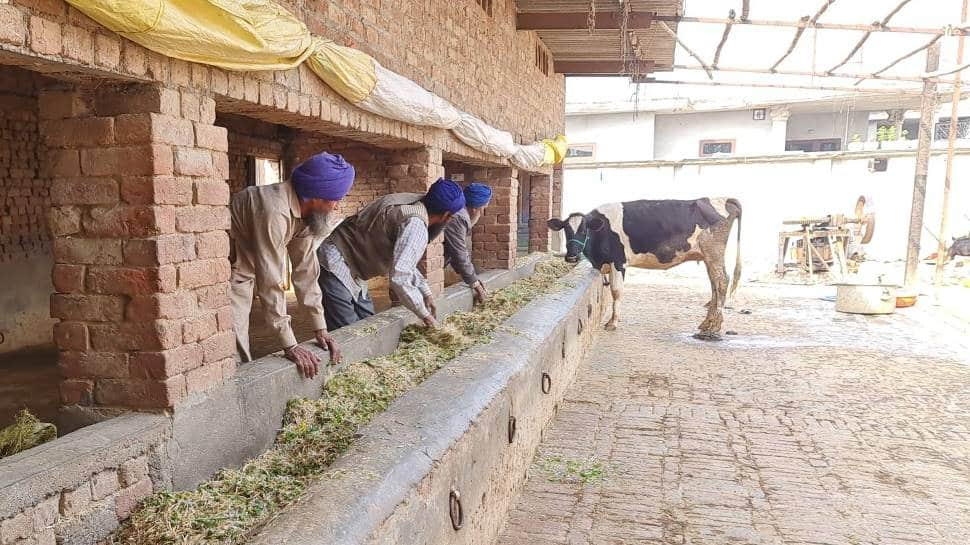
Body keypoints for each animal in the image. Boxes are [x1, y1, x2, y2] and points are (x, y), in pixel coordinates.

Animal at [552, 198, 740, 338]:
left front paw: (612, 323)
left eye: (584, 230)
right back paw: (707, 323)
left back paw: (715, 326)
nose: (571, 257)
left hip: (714, 252)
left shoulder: (618, 262)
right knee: (714, 285)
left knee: (722, 281)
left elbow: (616, 291)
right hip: (709, 257)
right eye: (566, 230)